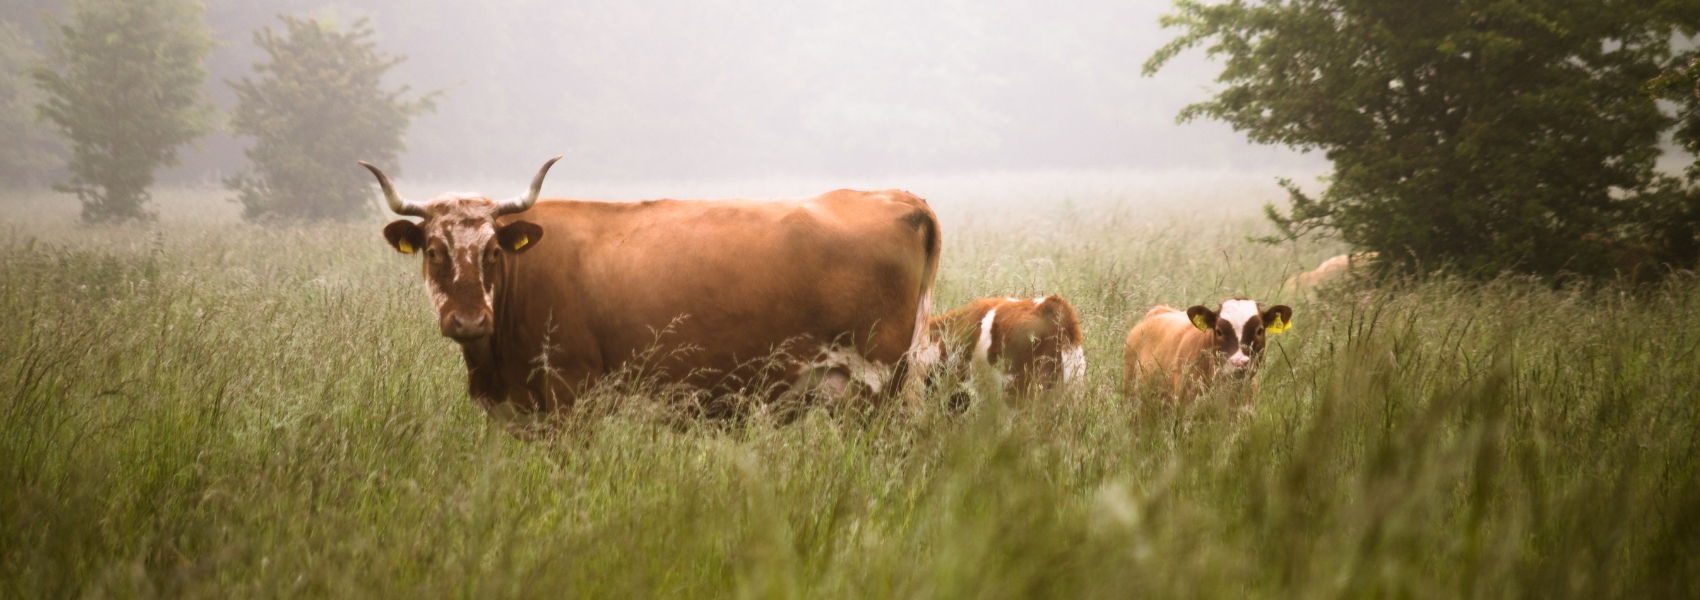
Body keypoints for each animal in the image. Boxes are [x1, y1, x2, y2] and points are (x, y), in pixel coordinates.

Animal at [363, 156, 945, 423]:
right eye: (433, 251)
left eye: (491, 252)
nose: (468, 321)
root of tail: (901, 198)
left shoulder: (572, 393)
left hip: (877, 382)